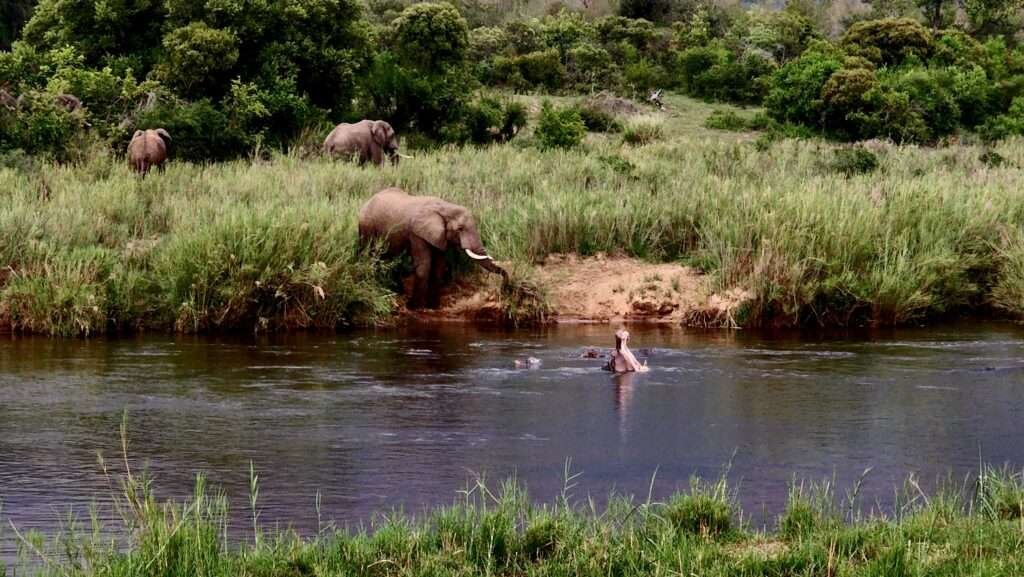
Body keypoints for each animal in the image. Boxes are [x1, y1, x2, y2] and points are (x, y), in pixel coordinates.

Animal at [356, 187, 507, 309]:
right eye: (460, 228)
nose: (505, 284)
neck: (445, 207)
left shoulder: (439, 237)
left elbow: (438, 267)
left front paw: (433, 306)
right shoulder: (417, 233)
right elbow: (424, 266)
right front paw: (414, 307)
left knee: (388, 257)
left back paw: (397, 290)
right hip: (366, 226)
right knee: (370, 254)